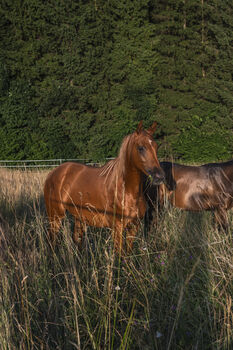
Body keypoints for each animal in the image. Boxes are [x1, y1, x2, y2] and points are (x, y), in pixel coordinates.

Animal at [43, 121, 164, 253]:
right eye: (141, 148)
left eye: (156, 147)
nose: (159, 176)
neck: (127, 191)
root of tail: (53, 173)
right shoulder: (117, 228)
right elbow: (120, 255)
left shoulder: (133, 227)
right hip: (55, 216)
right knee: (51, 240)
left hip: (78, 217)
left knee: (77, 239)